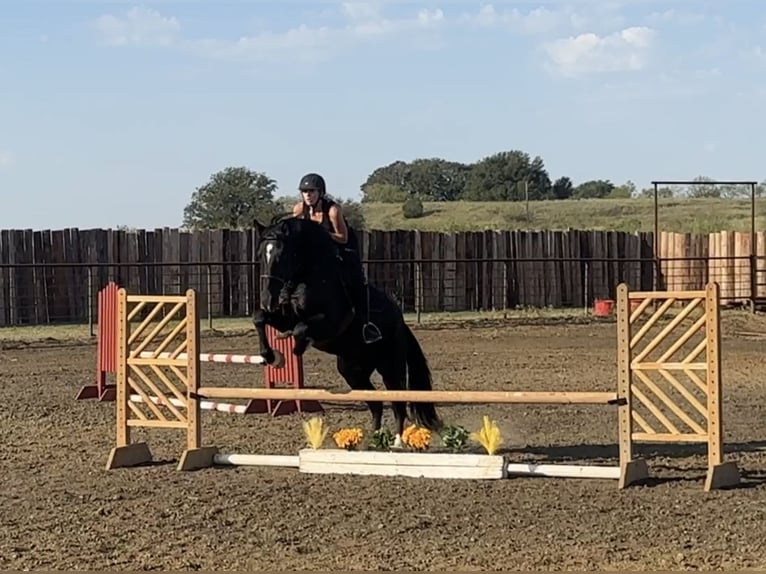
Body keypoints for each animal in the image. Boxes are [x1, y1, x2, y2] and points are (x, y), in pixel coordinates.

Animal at [254, 216, 444, 446]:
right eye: (260, 255)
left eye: (281, 255)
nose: (267, 300)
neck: (308, 275)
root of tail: (401, 323)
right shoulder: (284, 318)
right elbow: (260, 318)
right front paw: (271, 356)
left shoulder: (330, 322)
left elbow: (300, 329)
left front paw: (297, 348)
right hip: (353, 371)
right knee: (375, 403)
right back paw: (374, 441)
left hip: (390, 368)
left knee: (398, 403)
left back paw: (397, 442)